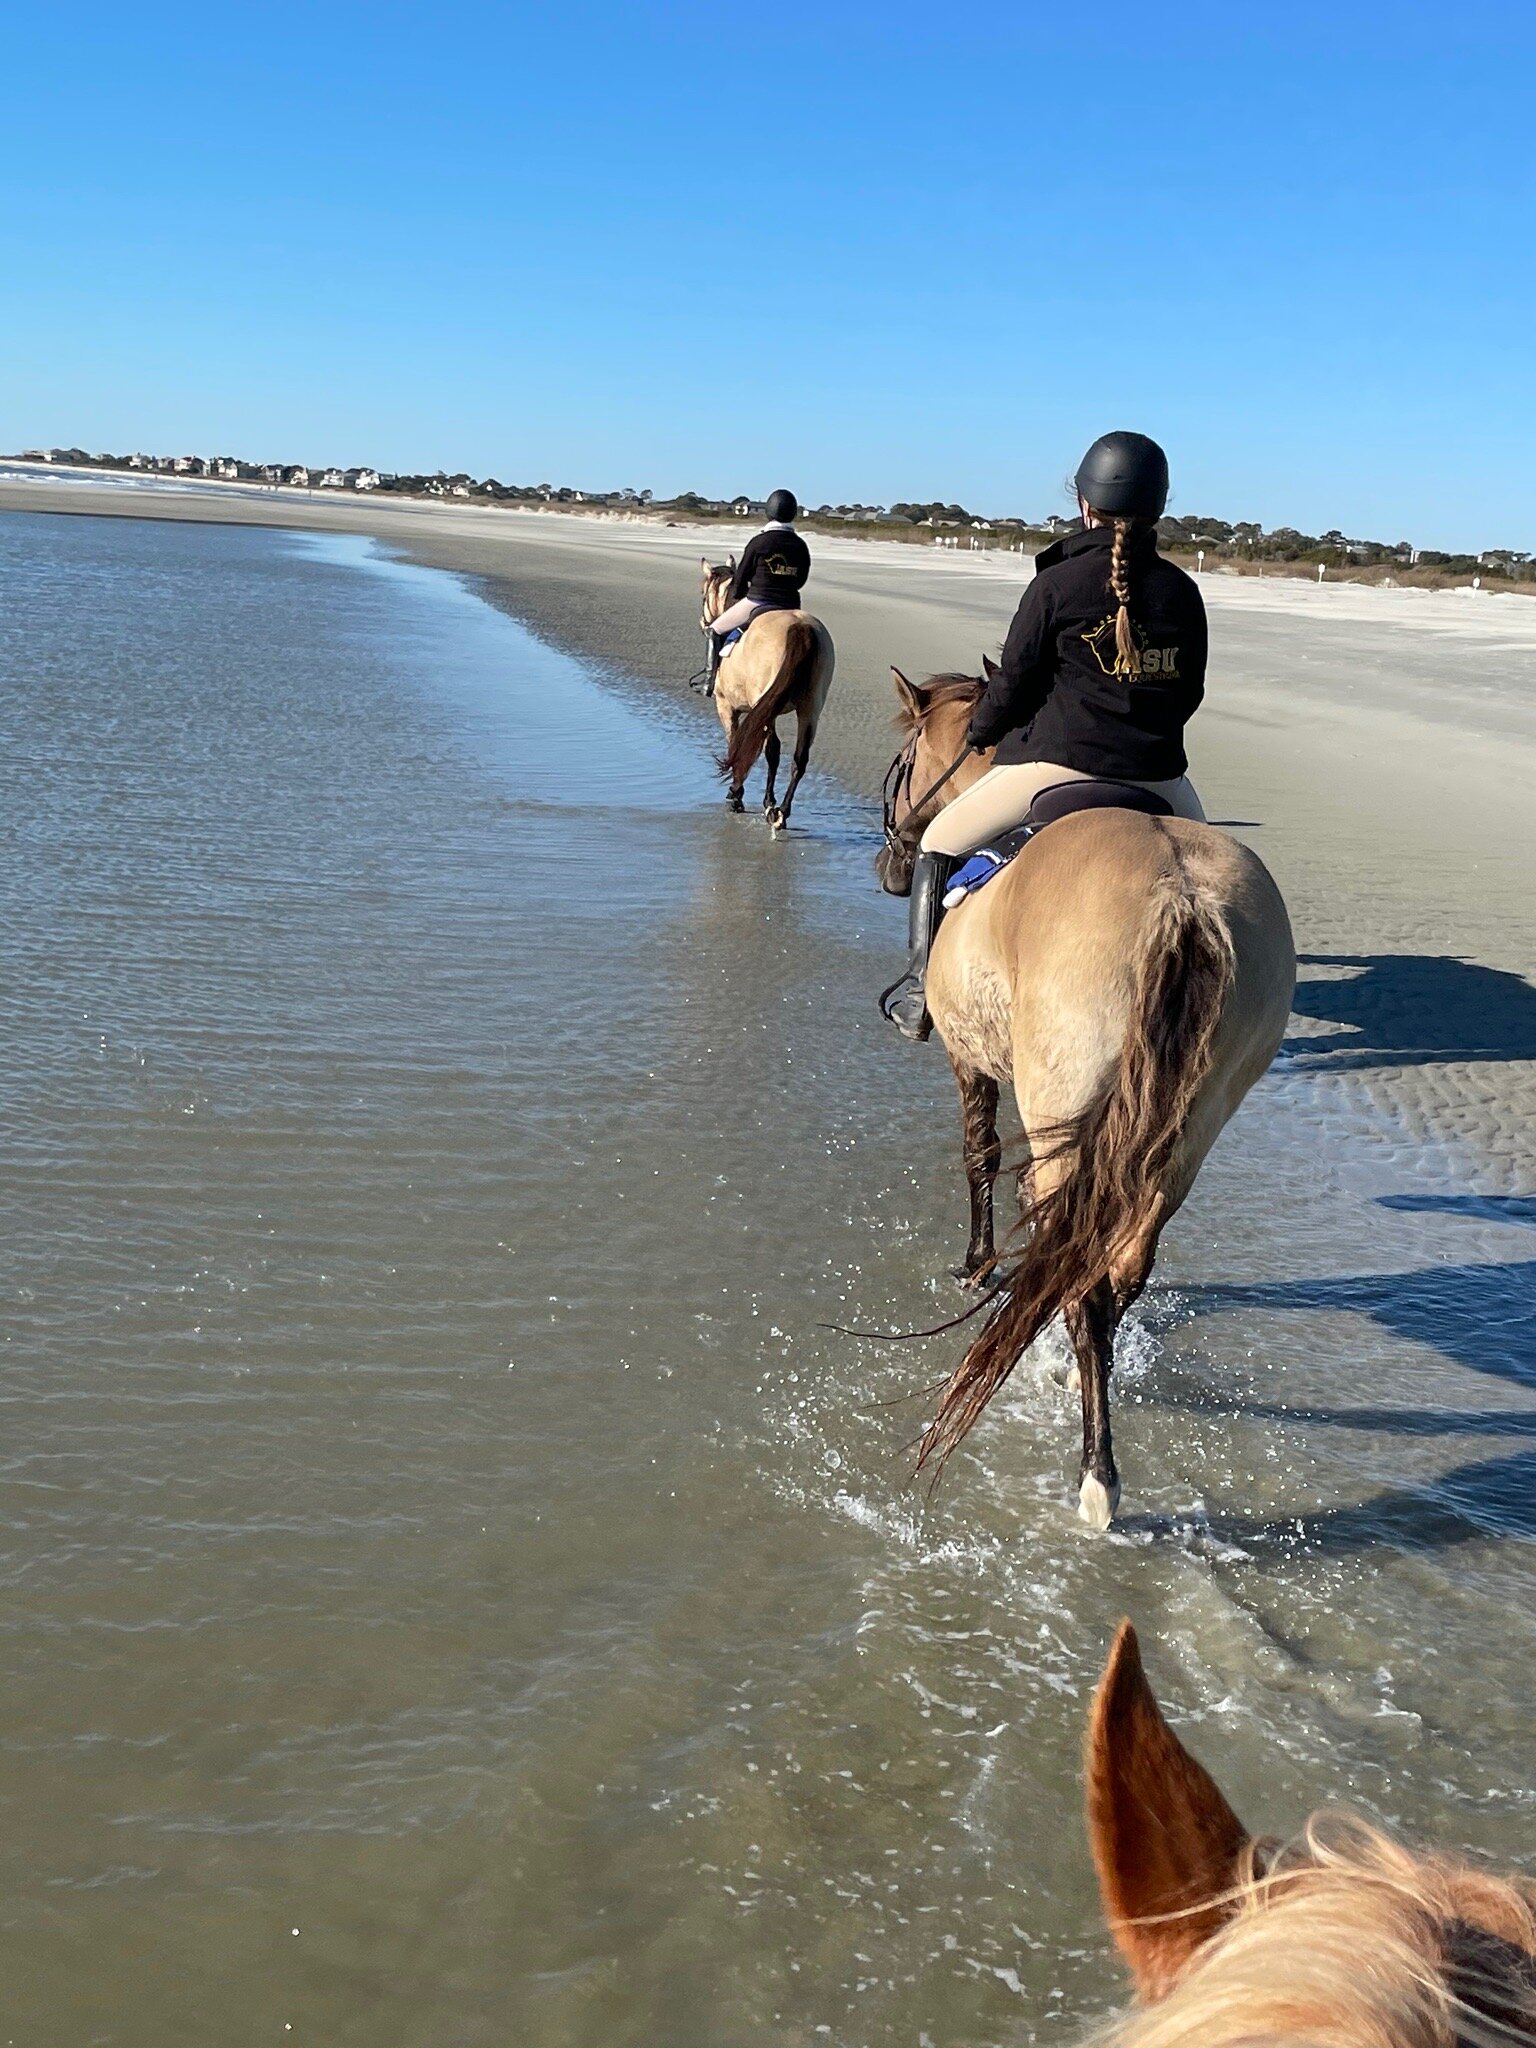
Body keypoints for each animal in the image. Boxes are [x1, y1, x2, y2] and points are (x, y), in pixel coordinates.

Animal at [704, 561, 835, 831]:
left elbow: (735, 742)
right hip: (810, 709)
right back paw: (782, 811)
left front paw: (736, 795)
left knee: (772, 750)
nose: (704, 621)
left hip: (765, 705)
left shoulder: (726, 706)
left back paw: (768, 805)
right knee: (799, 758)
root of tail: (801, 627)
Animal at [876, 663, 1302, 1531]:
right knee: (1121, 1265)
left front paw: (976, 1266)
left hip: (1066, 1110)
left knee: (1086, 1279)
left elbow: (979, 1155)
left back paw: (1096, 1472)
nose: (892, 868)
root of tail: (1184, 900)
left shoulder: (971, 1061)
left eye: (902, 763)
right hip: (1185, 1132)